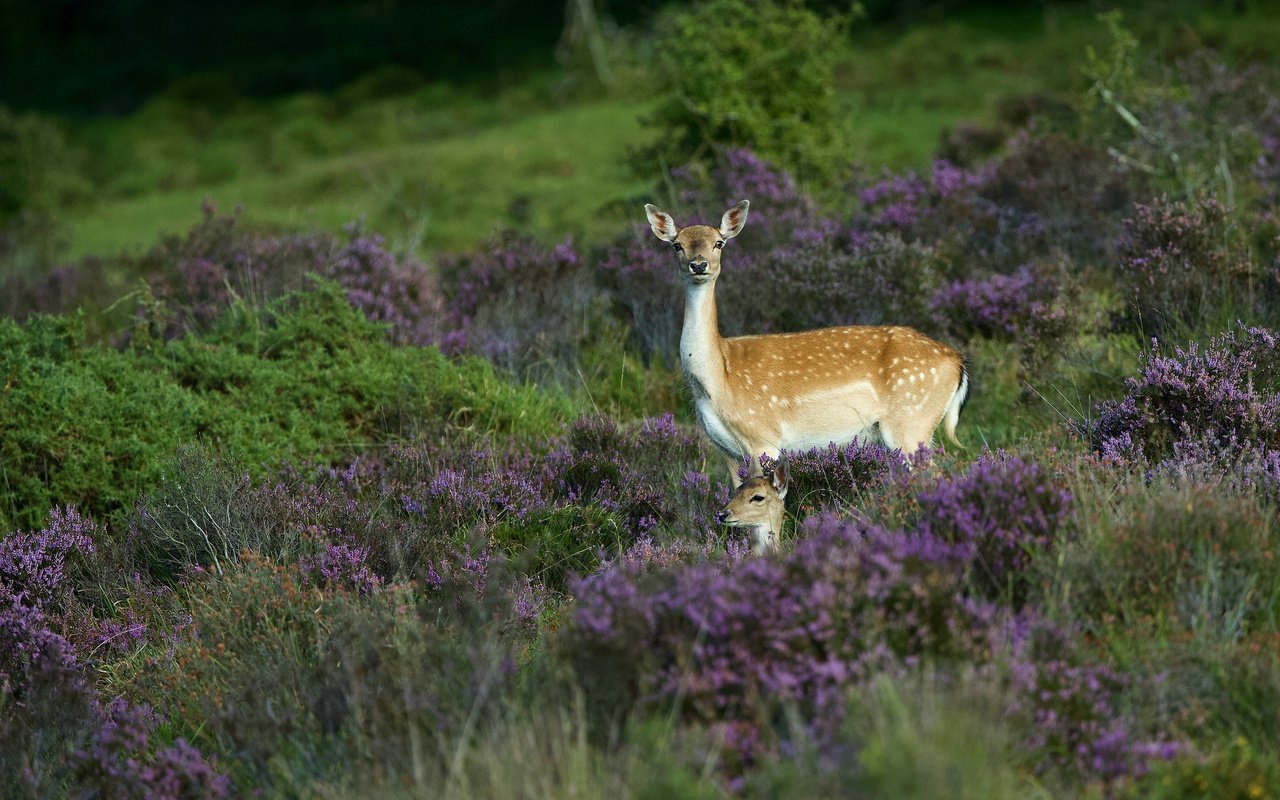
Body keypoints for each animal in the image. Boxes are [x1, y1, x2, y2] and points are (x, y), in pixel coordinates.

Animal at [645, 199, 962, 486]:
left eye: (719, 243)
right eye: (677, 245)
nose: (698, 265)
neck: (717, 378)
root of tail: (957, 363)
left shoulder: (764, 438)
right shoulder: (726, 452)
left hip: (911, 421)